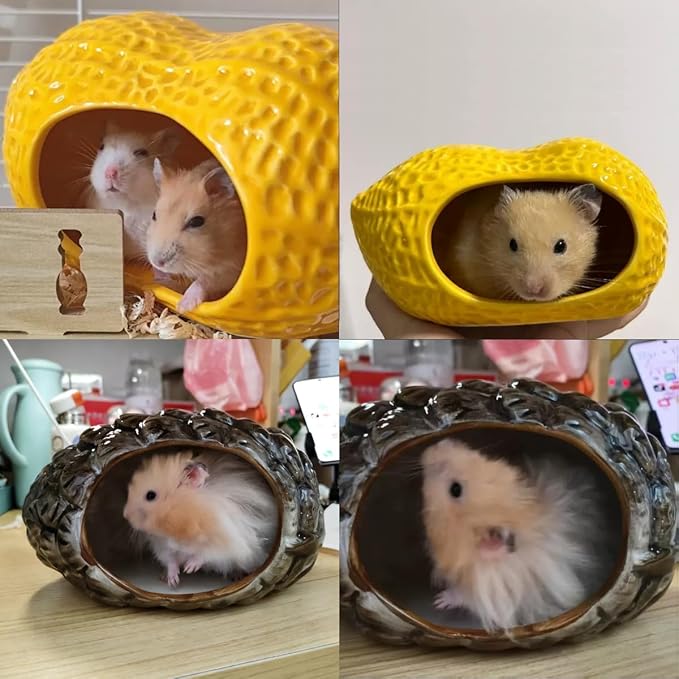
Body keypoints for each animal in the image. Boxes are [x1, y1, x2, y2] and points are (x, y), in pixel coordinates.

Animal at [123, 451, 277, 587]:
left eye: (150, 495)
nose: (125, 515)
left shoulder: (225, 541)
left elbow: (205, 554)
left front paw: (189, 568)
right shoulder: (163, 546)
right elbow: (171, 561)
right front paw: (173, 581)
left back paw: (237, 576)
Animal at [147, 158, 247, 313]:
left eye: (196, 222)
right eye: (154, 214)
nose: (158, 262)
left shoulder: (232, 270)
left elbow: (203, 281)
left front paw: (183, 306)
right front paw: (158, 277)